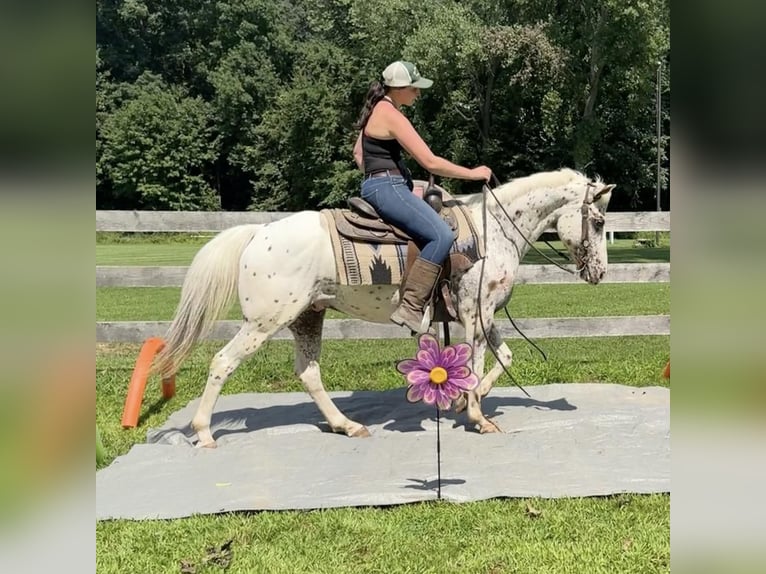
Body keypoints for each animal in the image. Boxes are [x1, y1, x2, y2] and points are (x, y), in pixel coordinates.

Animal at [156, 169, 616, 448]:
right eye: (597, 223)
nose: (599, 273)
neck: (494, 232)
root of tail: (259, 233)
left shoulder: (483, 314)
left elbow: (504, 357)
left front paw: (463, 404)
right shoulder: (476, 313)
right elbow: (480, 362)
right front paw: (478, 416)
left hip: (307, 317)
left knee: (309, 373)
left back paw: (346, 424)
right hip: (263, 322)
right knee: (222, 362)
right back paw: (204, 433)